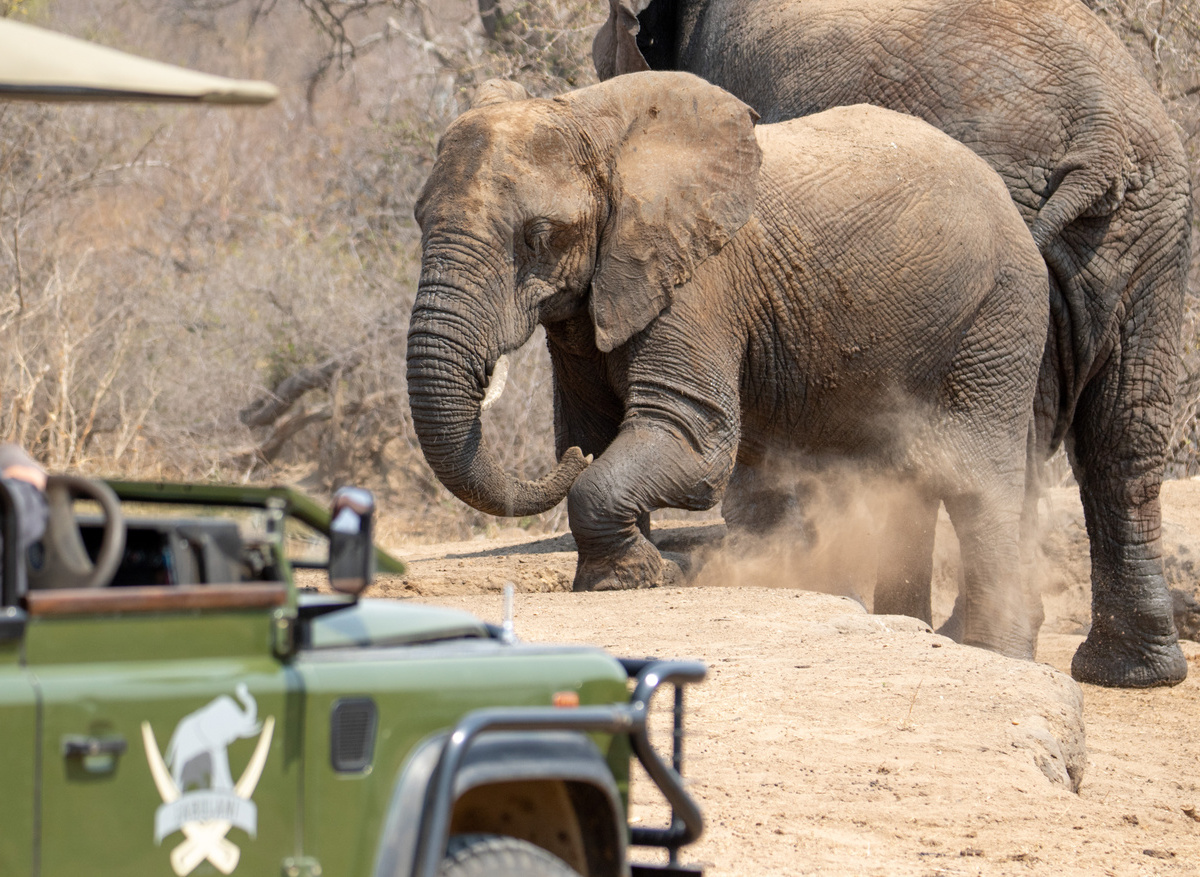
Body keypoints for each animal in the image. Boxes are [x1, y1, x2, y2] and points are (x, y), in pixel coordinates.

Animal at [406, 71, 1049, 658]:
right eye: (418, 219)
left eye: (538, 236)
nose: (566, 464)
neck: (597, 126)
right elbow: (595, 429)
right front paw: (624, 569)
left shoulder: (701, 281)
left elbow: (693, 439)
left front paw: (638, 577)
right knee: (904, 474)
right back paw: (913, 626)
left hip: (1000, 309)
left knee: (970, 477)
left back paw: (995, 652)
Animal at [592, 0, 1194, 688]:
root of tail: (1103, 137)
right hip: (1151, 230)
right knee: (1122, 434)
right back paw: (1130, 671)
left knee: (999, 442)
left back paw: (976, 640)